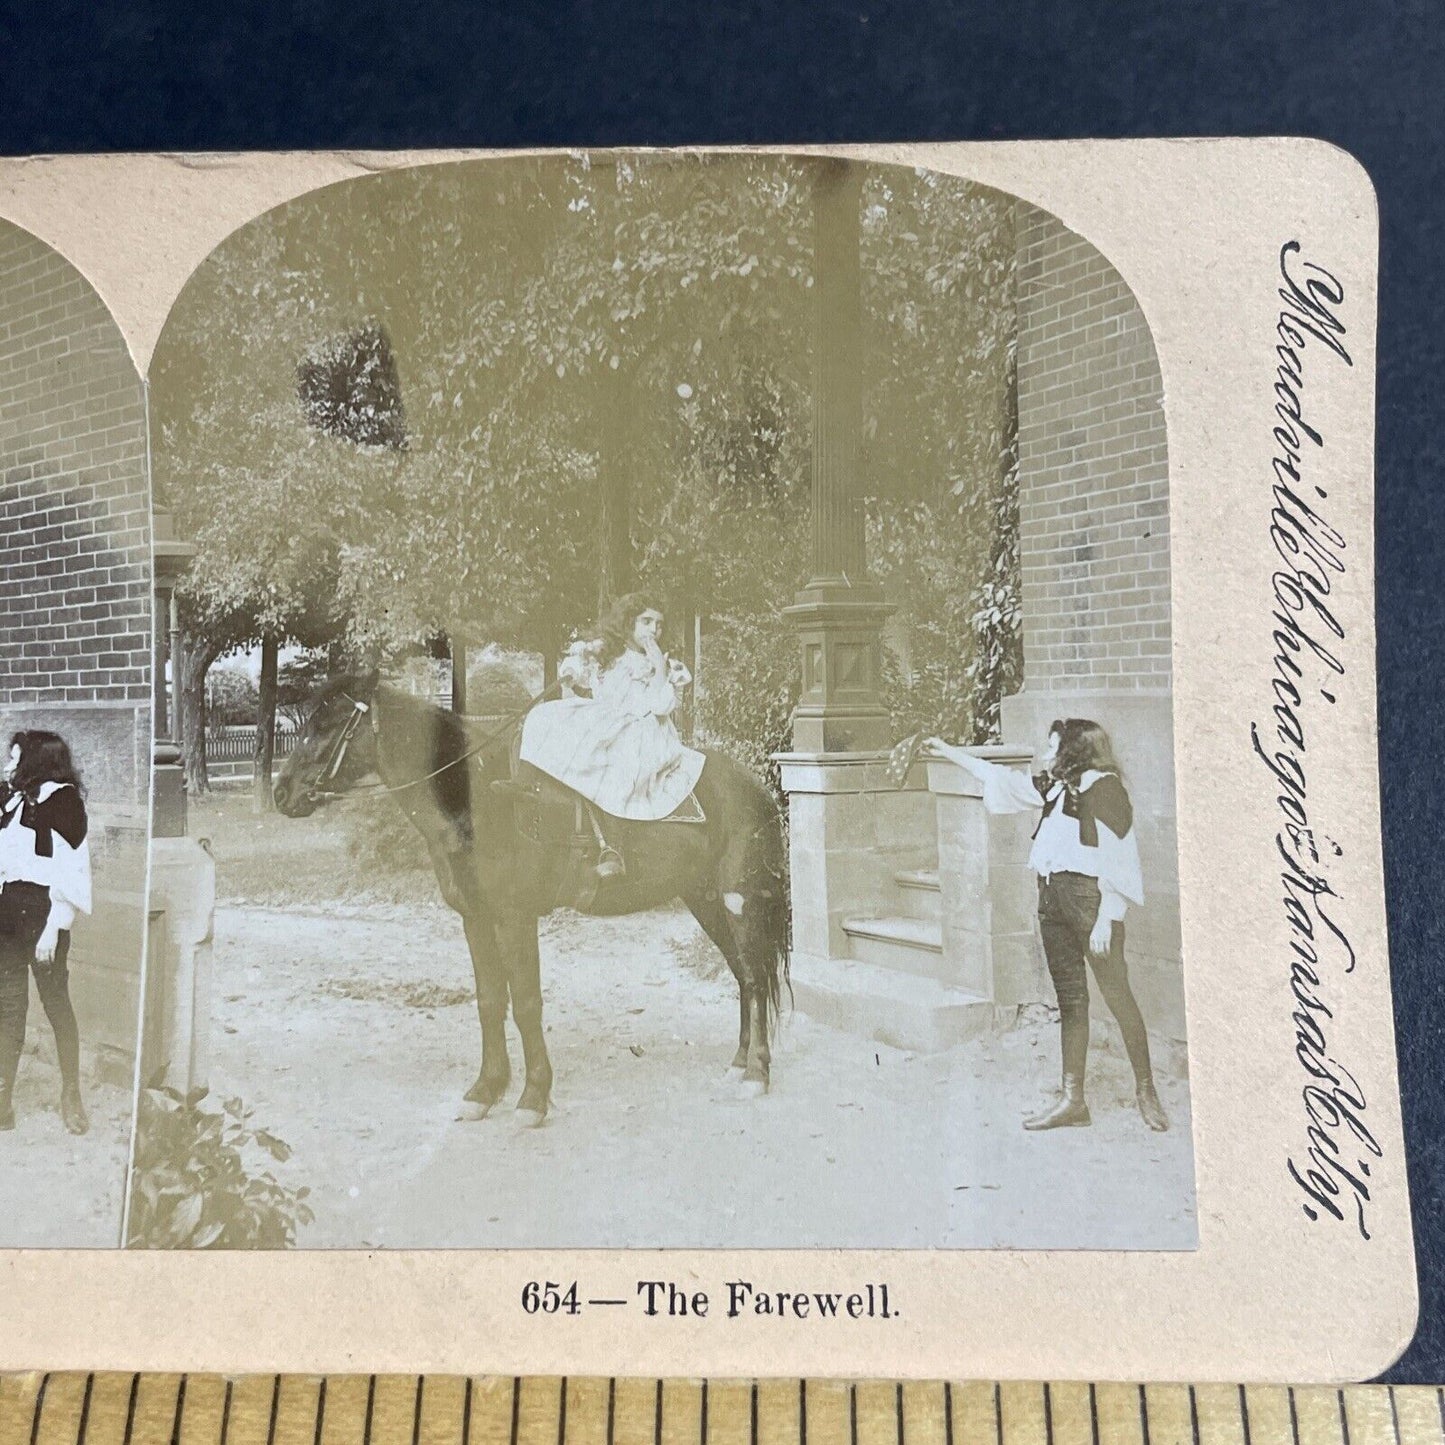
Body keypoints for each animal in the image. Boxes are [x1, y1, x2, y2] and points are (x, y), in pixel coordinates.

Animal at [271, 670, 791, 1121]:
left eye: (329, 724)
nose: (281, 792)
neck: (482, 800)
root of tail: (756, 786)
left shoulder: (515, 917)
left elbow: (524, 1004)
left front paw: (533, 1097)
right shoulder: (476, 919)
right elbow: (489, 1002)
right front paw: (485, 1090)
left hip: (739, 900)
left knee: (755, 976)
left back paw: (757, 1074)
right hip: (705, 902)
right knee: (744, 977)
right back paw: (738, 1064)